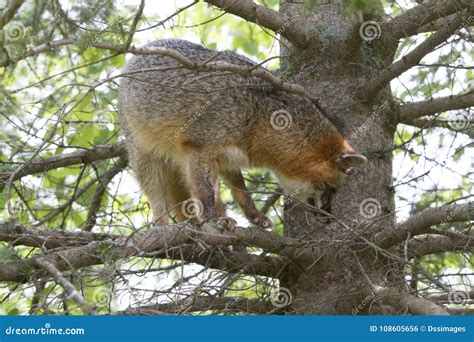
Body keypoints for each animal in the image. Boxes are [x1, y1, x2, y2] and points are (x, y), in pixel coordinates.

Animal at [117, 39, 366, 227]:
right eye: (329, 190)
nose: (329, 220)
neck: (258, 115)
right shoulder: (199, 150)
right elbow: (205, 195)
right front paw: (213, 220)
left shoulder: (226, 159)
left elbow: (241, 193)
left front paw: (253, 216)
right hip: (146, 165)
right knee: (159, 205)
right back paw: (164, 229)